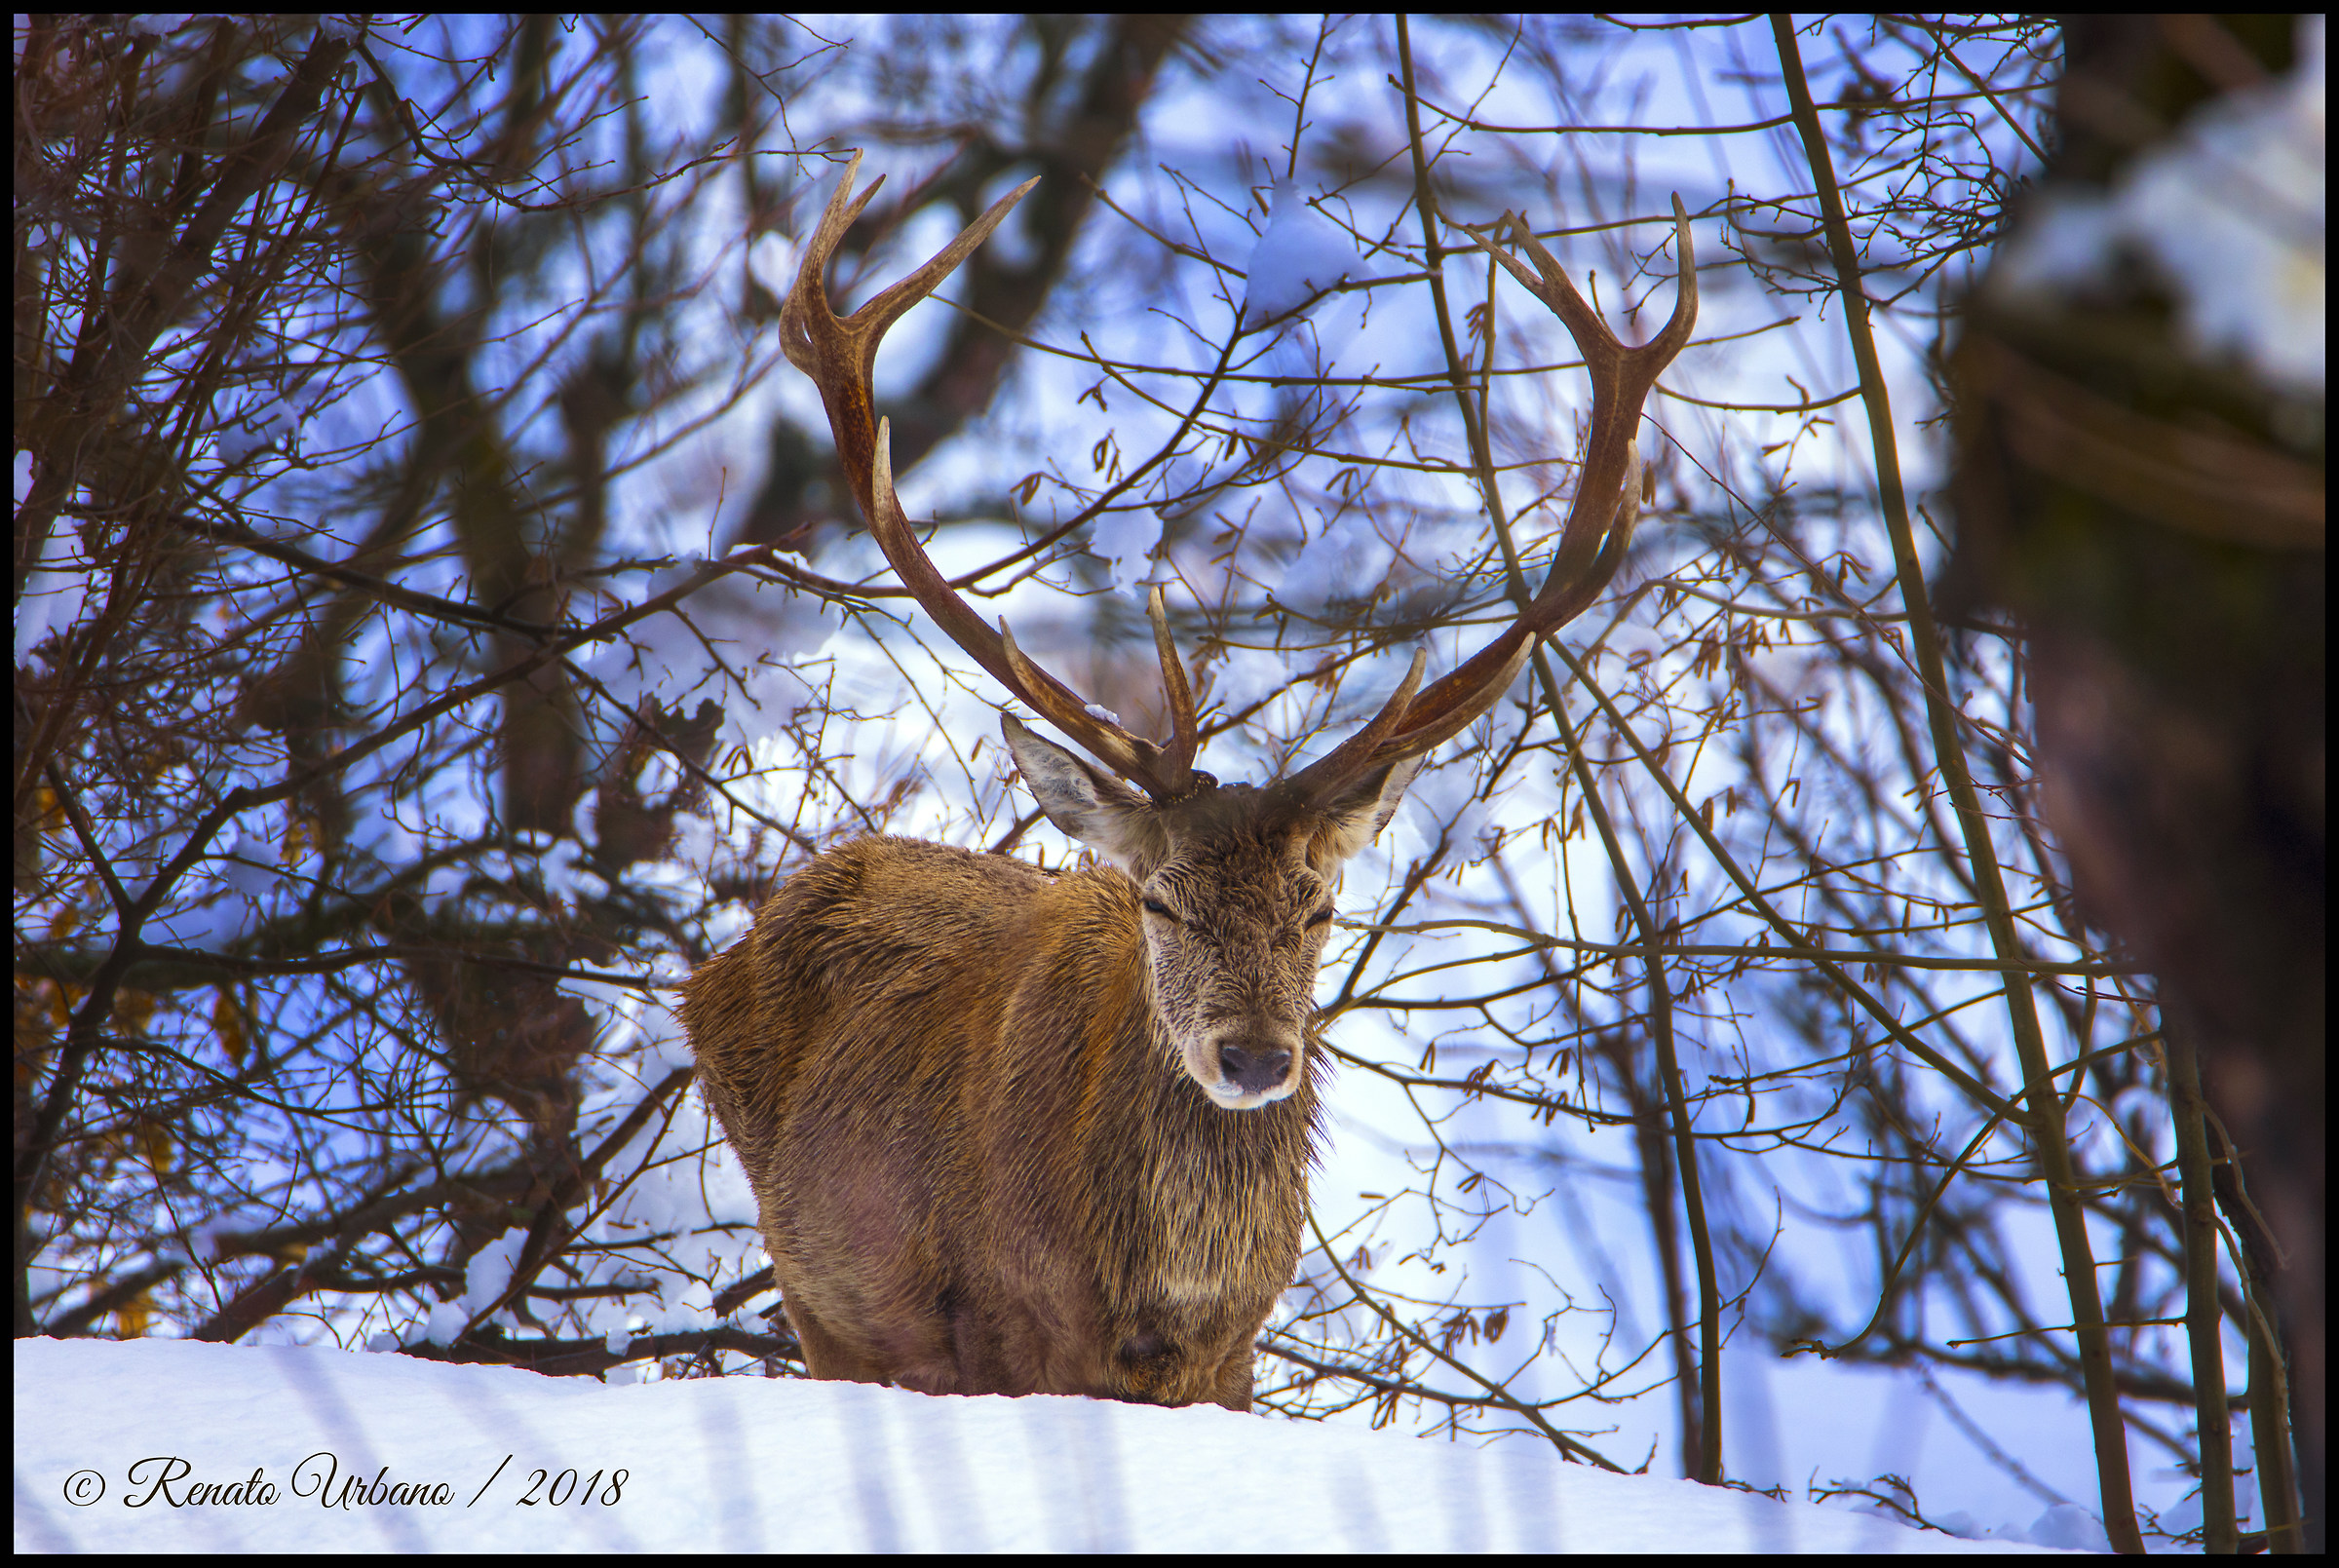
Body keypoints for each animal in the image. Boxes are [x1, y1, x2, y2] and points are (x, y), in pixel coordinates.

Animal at [684, 152, 1695, 1411]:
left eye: (1320, 909)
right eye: (1161, 902)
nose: (1255, 1056)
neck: (1158, 1304)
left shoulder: (1236, 1357)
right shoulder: (1002, 1335)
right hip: (818, 1292)